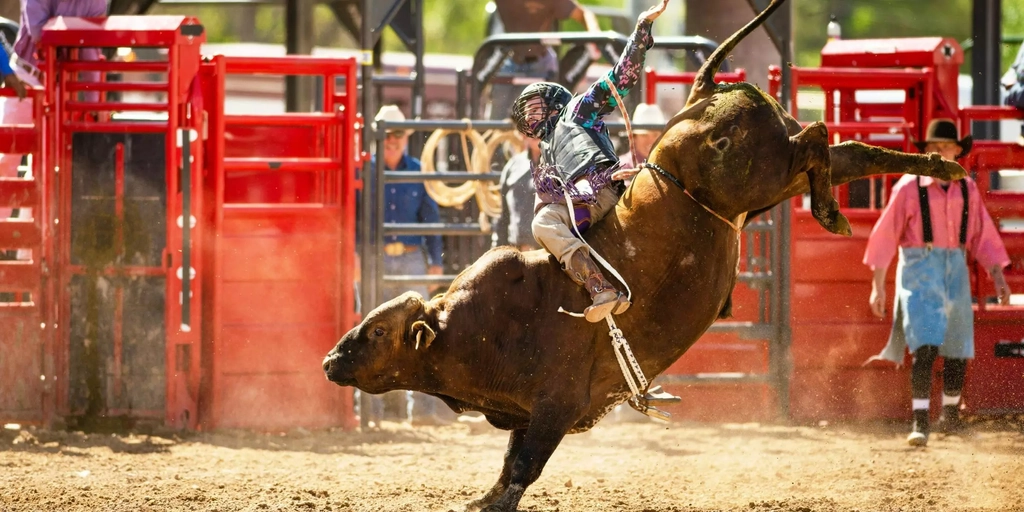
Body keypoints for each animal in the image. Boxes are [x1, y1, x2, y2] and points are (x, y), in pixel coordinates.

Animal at [321, 2, 966, 509]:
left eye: (376, 332)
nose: (330, 360)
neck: (473, 325)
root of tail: (701, 96)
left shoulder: (555, 405)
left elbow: (522, 470)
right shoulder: (527, 415)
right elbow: (508, 469)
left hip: (756, 172)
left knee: (818, 135)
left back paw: (834, 209)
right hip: (772, 179)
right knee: (845, 148)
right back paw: (939, 167)